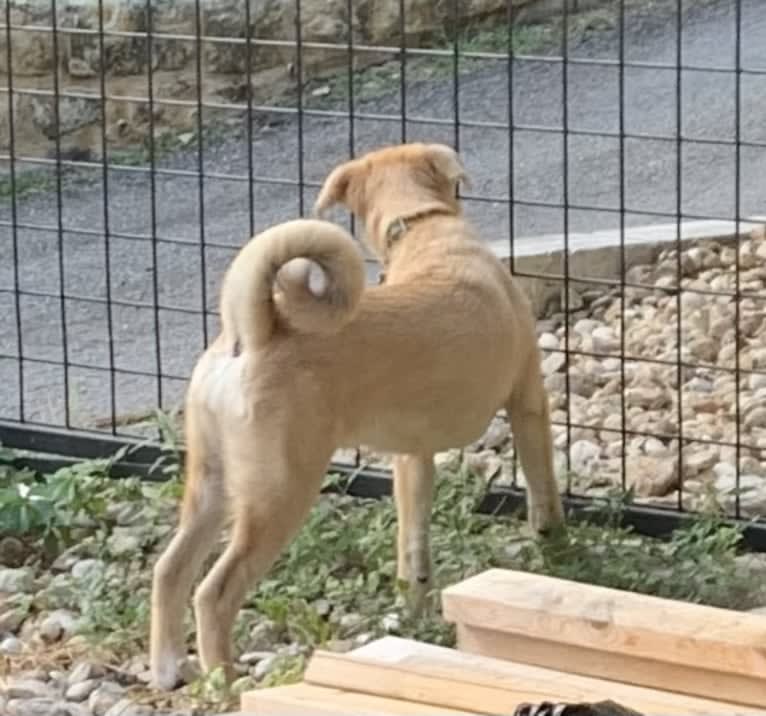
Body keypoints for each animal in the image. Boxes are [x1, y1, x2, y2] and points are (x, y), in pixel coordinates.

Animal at [148, 143, 564, 692]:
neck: (424, 226)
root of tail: (256, 333)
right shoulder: (528, 402)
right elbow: (543, 491)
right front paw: (556, 551)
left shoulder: (412, 458)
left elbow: (413, 548)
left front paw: (415, 608)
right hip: (278, 492)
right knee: (214, 592)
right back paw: (226, 682)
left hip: (211, 484)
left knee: (169, 569)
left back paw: (167, 667)